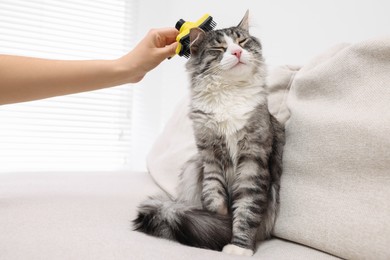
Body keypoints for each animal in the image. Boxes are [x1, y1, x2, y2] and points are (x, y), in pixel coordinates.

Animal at [133, 10, 284, 256]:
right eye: (219, 48)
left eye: (242, 42)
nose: (237, 52)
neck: (229, 94)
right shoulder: (210, 156)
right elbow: (213, 197)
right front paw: (220, 223)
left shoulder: (253, 159)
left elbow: (246, 209)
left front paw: (239, 247)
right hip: (192, 168)